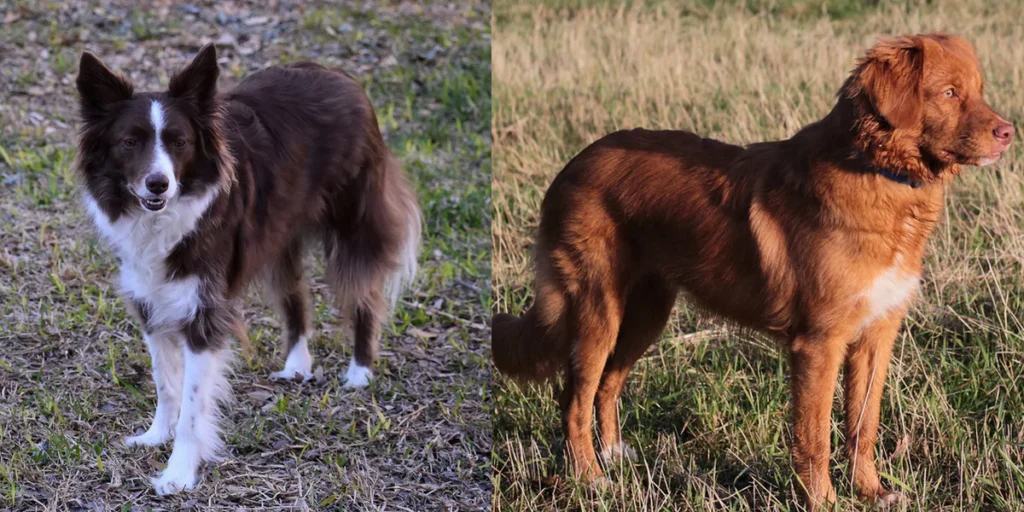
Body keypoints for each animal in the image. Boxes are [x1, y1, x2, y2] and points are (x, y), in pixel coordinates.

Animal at [74, 46, 419, 493]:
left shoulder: (204, 312)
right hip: (279, 233)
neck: (162, 217)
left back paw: (360, 371)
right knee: (295, 296)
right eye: (129, 142)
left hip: (354, 221)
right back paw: (296, 365)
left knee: (364, 292)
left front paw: (178, 473)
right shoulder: (150, 299)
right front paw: (155, 435)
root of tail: (341, 76)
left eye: (180, 142)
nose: (158, 184)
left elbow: (192, 405)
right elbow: (165, 381)